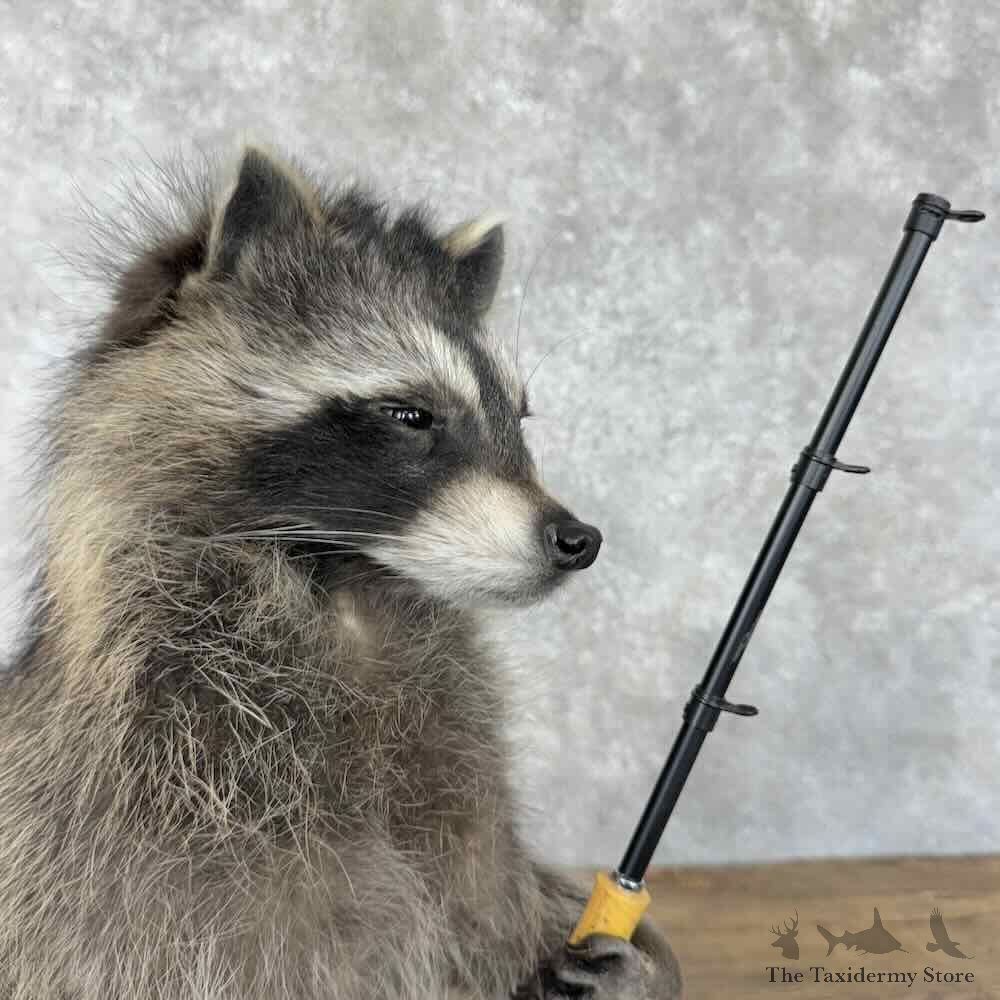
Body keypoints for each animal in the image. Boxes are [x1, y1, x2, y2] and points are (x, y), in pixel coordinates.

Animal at [0, 145, 682, 1000]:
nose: (577, 538)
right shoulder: (138, 834)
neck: (347, 601)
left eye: (518, 416)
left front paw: (636, 964)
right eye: (411, 415)